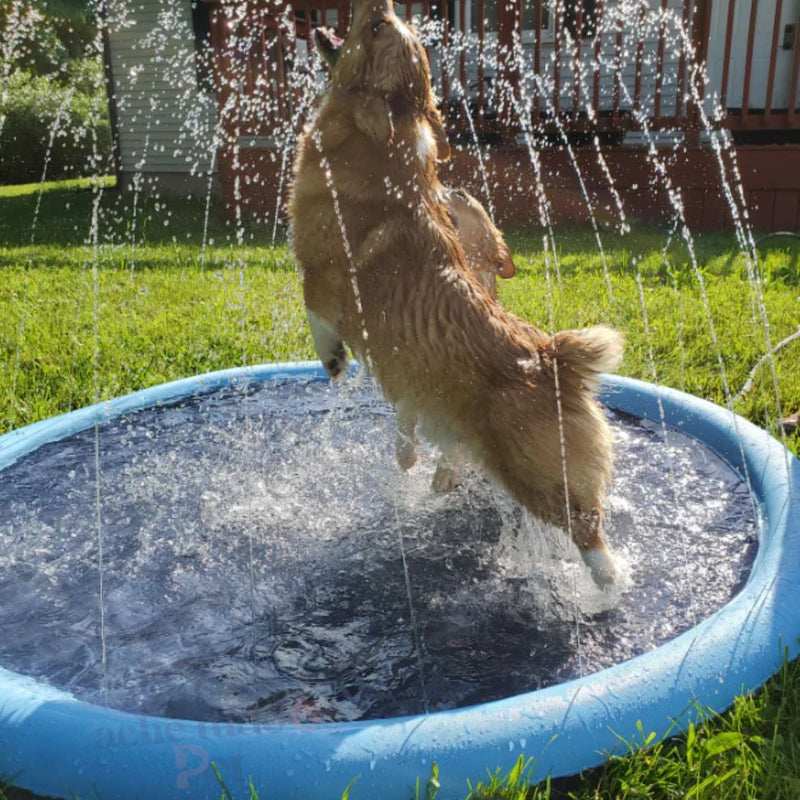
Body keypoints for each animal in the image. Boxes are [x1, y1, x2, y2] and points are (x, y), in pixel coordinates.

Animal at [290, 0, 624, 588]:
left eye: (376, 27)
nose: (385, 4)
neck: (379, 142)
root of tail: (556, 360)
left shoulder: (323, 277)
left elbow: (317, 318)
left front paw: (333, 361)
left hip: (534, 474)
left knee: (588, 530)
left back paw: (607, 588)